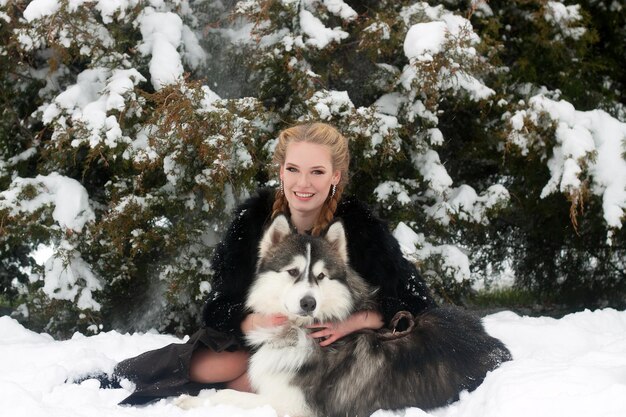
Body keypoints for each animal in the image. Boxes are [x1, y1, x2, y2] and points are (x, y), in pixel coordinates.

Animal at [174, 216, 508, 414]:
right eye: (293, 272)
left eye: (321, 276)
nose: (308, 303)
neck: (301, 331)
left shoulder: (292, 406)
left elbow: (231, 396)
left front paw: (192, 401)